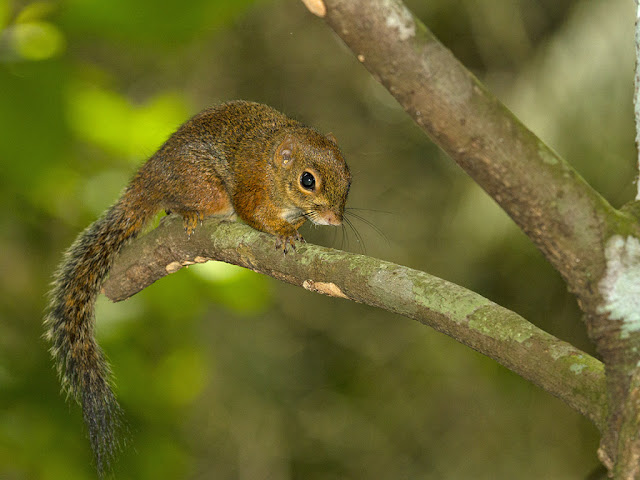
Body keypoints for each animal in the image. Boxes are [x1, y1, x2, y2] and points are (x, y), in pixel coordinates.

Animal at [44, 99, 352, 474]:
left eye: (349, 177)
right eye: (308, 180)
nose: (334, 219)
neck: (271, 162)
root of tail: (143, 183)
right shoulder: (251, 186)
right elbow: (254, 214)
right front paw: (283, 232)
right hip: (206, 189)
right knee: (173, 203)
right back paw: (187, 213)